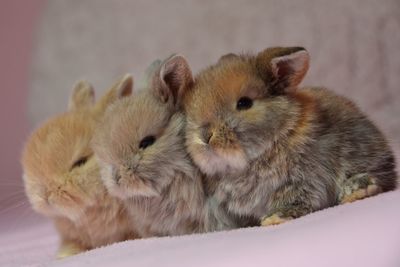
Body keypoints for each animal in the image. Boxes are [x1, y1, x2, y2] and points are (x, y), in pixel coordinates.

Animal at [184, 47, 396, 227]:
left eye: (244, 103)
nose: (204, 136)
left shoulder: (304, 179)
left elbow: (298, 199)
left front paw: (275, 218)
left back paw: (358, 189)